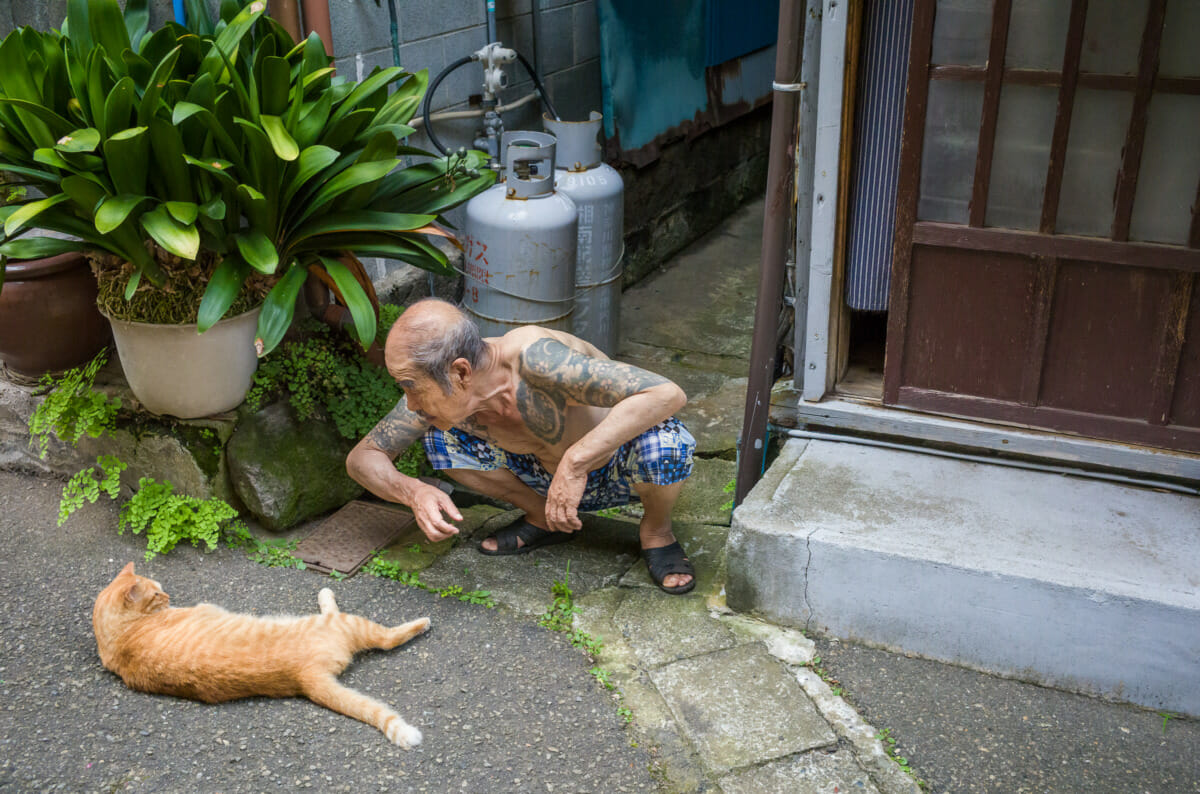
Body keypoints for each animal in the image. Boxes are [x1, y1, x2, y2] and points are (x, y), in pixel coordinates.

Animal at [93, 563, 432, 748]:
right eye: (155, 594)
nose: (167, 596)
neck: (119, 636)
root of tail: (303, 677)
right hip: (348, 623)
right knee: (384, 637)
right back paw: (419, 622)